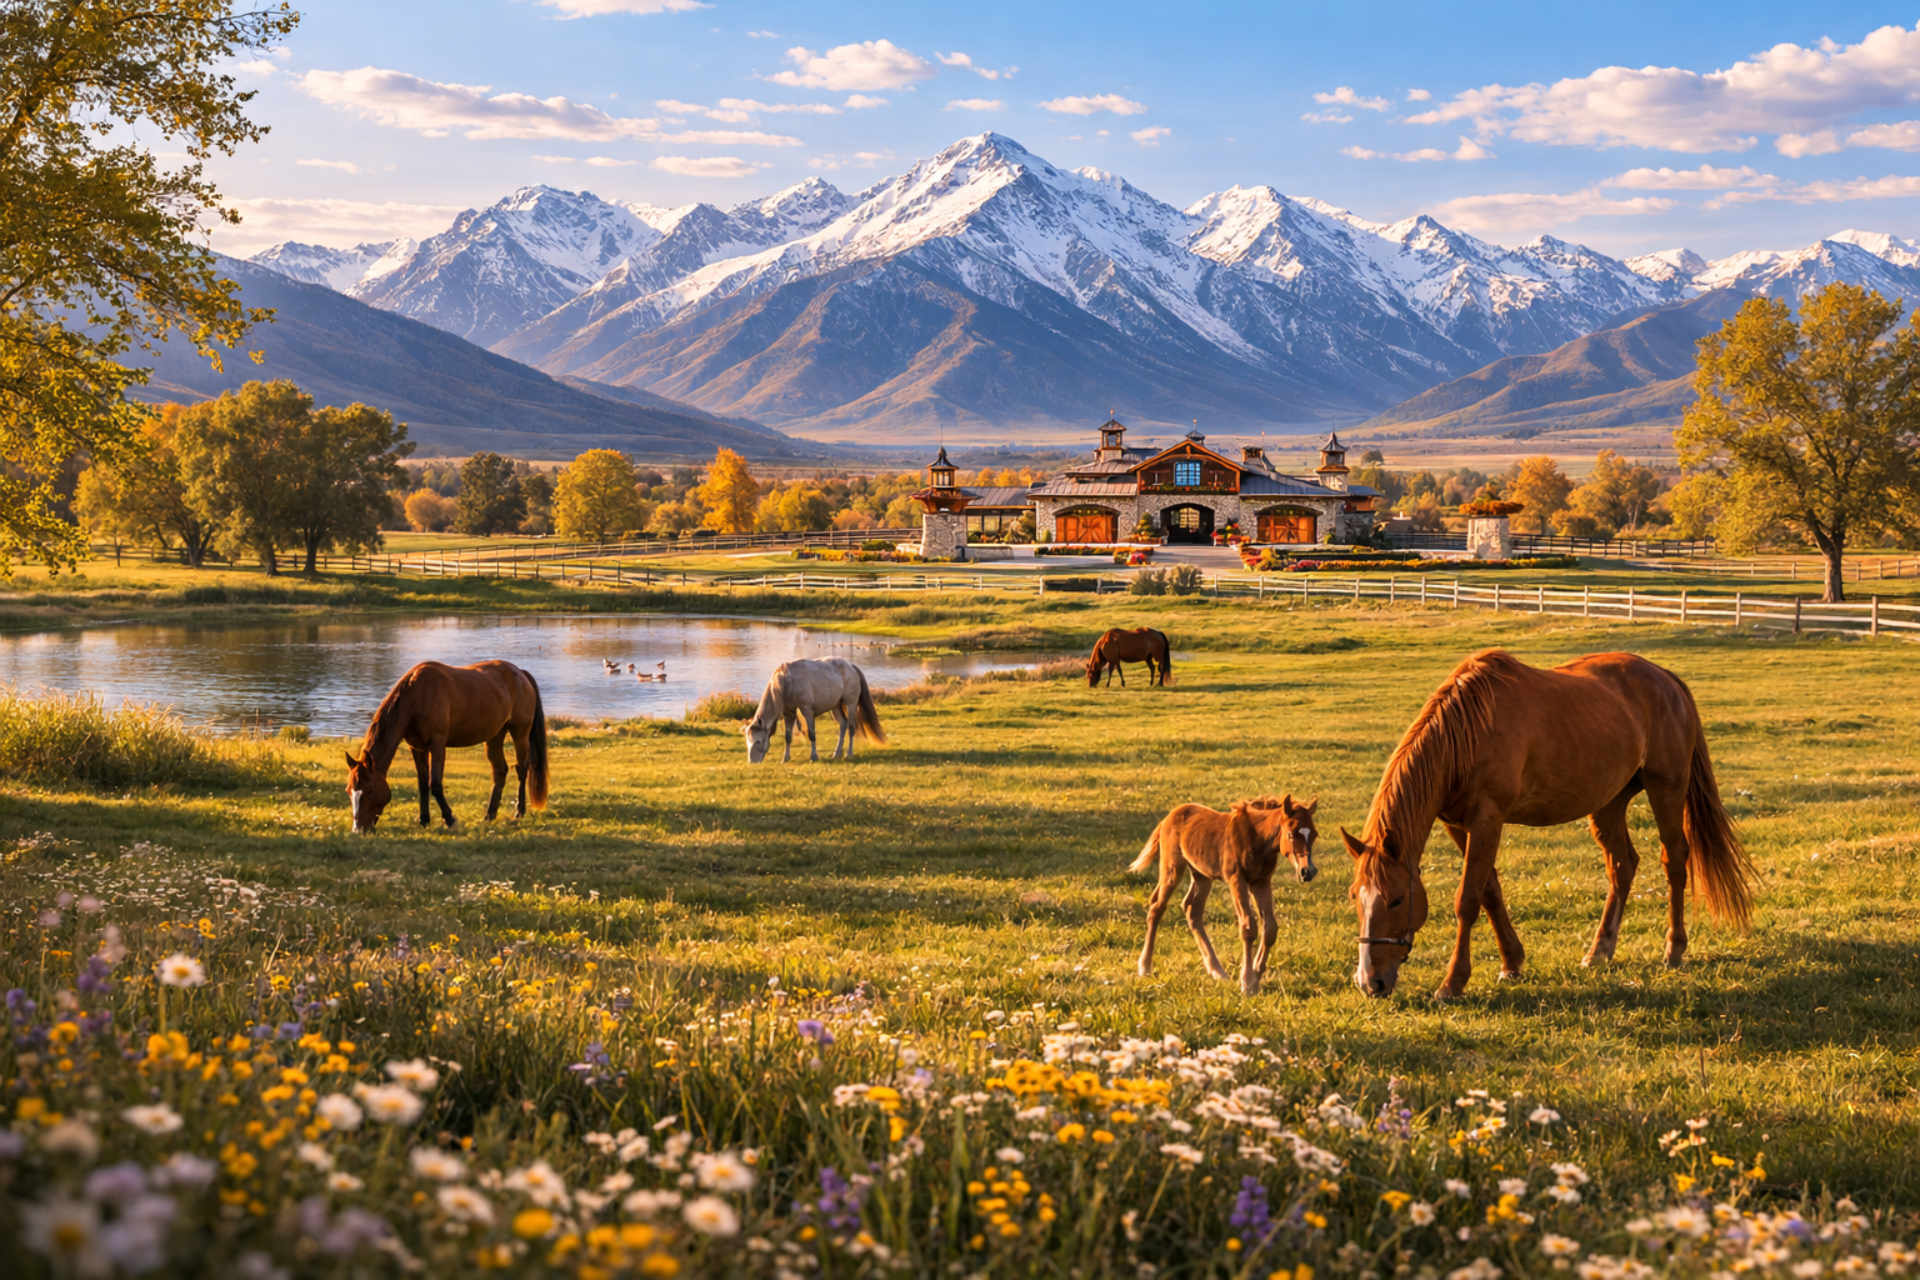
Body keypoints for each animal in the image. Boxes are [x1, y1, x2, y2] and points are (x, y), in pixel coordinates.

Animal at [343, 660, 549, 833]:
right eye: (349, 790)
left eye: (370, 790)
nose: (358, 829)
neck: (417, 695)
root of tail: (520, 673)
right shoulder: (416, 747)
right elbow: (423, 784)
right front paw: (424, 820)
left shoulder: (437, 743)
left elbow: (434, 784)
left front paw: (450, 819)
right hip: (495, 736)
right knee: (500, 771)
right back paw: (489, 815)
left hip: (520, 734)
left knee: (522, 769)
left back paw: (519, 812)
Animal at [744, 657, 885, 764]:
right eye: (748, 741)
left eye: (758, 741)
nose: (752, 762)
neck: (787, 682)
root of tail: (851, 666)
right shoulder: (789, 714)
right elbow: (788, 737)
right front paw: (785, 758)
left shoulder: (807, 711)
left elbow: (812, 734)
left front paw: (814, 756)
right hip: (836, 706)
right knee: (843, 724)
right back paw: (836, 753)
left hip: (850, 704)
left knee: (851, 727)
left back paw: (848, 753)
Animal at [1131, 794, 1319, 995]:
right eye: (1291, 833)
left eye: (1314, 834)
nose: (1307, 872)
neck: (1256, 838)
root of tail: (1168, 817)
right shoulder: (1237, 879)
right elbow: (1248, 927)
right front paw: (1247, 981)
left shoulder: (1261, 882)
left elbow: (1270, 928)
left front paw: (1256, 974)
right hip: (1172, 868)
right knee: (1157, 907)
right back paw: (1145, 967)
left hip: (1202, 875)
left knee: (1192, 910)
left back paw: (1217, 972)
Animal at [1341, 649, 1752, 1001]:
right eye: (1355, 897)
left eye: (1396, 899)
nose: (1370, 982)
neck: (1469, 732)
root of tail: (1666, 678)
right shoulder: (1459, 825)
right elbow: (1490, 890)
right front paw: (1512, 963)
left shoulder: (1488, 818)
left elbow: (1468, 900)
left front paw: (1453, 983)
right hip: (1608, 802)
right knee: (1622, 866)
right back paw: (1599, 951)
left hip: (1666, 787)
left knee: (1675, 861)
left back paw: (1674, 948)